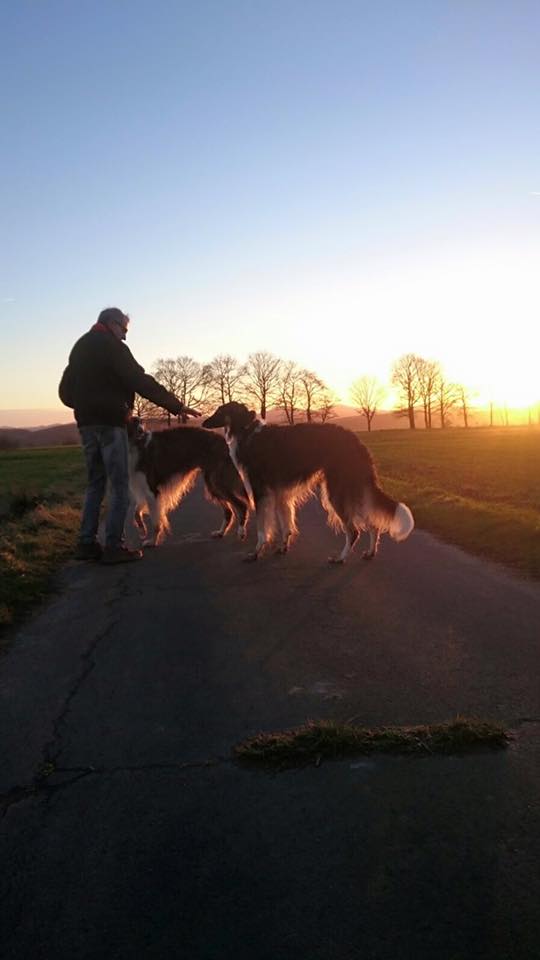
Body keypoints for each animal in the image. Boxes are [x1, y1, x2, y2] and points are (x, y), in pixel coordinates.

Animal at [127, 418, 250, 548]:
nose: (141, 431)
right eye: (133, 423)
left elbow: (156, 522)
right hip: (212, 484)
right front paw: (142, 529)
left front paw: (153, 541)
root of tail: (224, 441)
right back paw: (220, 532)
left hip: (217, 482)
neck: (135, 445)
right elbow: (136, 511)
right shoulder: (143, 489)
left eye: (140, 423)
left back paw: (241, 532)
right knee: (229, 512)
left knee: (242, 505)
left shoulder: (152, 490)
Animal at [202, 400, 414, 564]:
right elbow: (286, 524)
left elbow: (263, 528)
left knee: (354, 530)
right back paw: (370, 552)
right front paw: (283, 547)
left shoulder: (261, 492)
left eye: (219, 411)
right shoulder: (280, 494)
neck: (248, 433)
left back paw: (340, 558)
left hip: (337, 491)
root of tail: (357, 443)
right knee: (372, 525)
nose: (203, 422)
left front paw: (255, 553)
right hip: (351, 489)